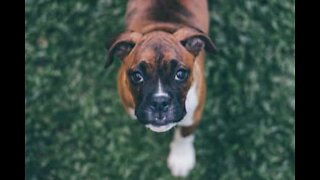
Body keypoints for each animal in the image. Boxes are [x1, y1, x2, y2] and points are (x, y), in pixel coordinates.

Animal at [105, 0, 215, 177]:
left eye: (180, 74)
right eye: (137, 76)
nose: (159, 103)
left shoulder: (193, 115)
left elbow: (184, 135)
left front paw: (181, 158)